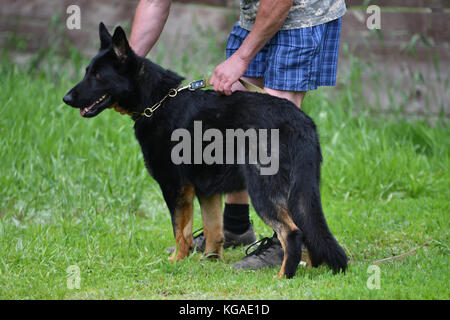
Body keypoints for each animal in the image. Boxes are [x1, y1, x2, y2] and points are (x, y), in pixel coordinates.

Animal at [61, 23, 346, 278]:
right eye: (87, 72)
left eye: (97, 76)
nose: (66, 98)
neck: (157, 101)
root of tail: (300, 122)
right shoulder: (207, 192)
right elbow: (213, 229)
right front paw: (210, 261)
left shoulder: (175, 188)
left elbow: (181, 231)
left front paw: (176, 261)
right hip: (300, 192)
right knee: (308, 228)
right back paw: (310, 267)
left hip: (263, 190)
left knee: (292, 232)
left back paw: (284, 275)